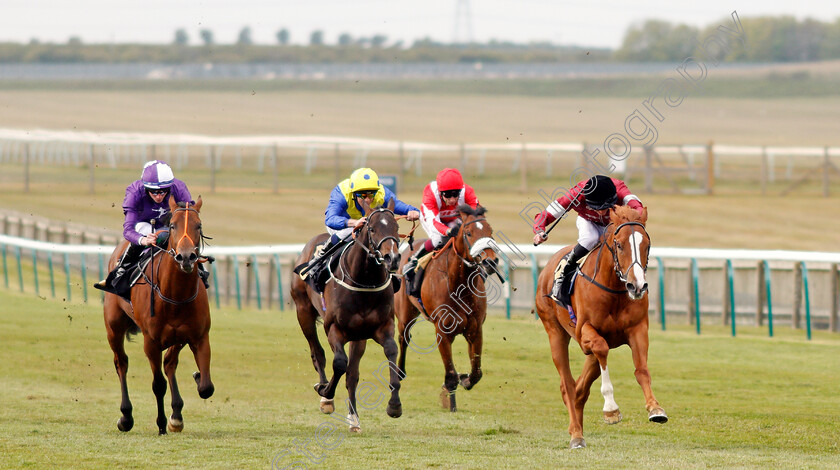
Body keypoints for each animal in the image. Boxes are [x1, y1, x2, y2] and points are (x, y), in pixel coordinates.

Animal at [102, 196, 213, 436]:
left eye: (198, 226)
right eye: (172, 226)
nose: (186, 257)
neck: (175, 294)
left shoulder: (199, 337)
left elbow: (206, 387)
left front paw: (197, 377)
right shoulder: (150, 342)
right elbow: (158, 384)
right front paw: (161, 424)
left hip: (177, 338)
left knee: (170, 363)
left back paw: (177, 415)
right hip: (113, 327)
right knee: (121, 362)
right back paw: (126, 417)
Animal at [292, 196, 404, 432]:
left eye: (396, 228)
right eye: (371, 228)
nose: (392, 258)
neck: (364, 280)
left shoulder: (382, 327)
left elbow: (390, 352)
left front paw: (394, 405)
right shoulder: (334, 328)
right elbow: (339, 363)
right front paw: (326, 394)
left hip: (358, 336)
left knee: (352, 374)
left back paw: (354, 418)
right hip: (303, 311)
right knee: (318, 352)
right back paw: (324, 392)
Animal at [394, 206, 498, 412]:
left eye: (490, 231)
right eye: (468, 233)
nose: (490, 262)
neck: (459, 283)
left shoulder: (475, 329)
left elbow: (477, 371)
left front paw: (465, 379)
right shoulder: (442, 331)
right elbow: (450, 374)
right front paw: (451, 404)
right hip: (404, 313)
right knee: (404, 338)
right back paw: (400, 372)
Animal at [536, 205, 668, 448]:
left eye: (646, 244)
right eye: (619, 245)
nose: (637, 286)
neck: (614, 289)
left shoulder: (638, 329)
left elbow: (641, 370)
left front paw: (655, 409)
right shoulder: (584, 331)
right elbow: (601, 348)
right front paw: (611, 409)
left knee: (580, 389)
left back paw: (577, 430)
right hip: (555, 331)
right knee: (568, 386)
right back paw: (576, 435)